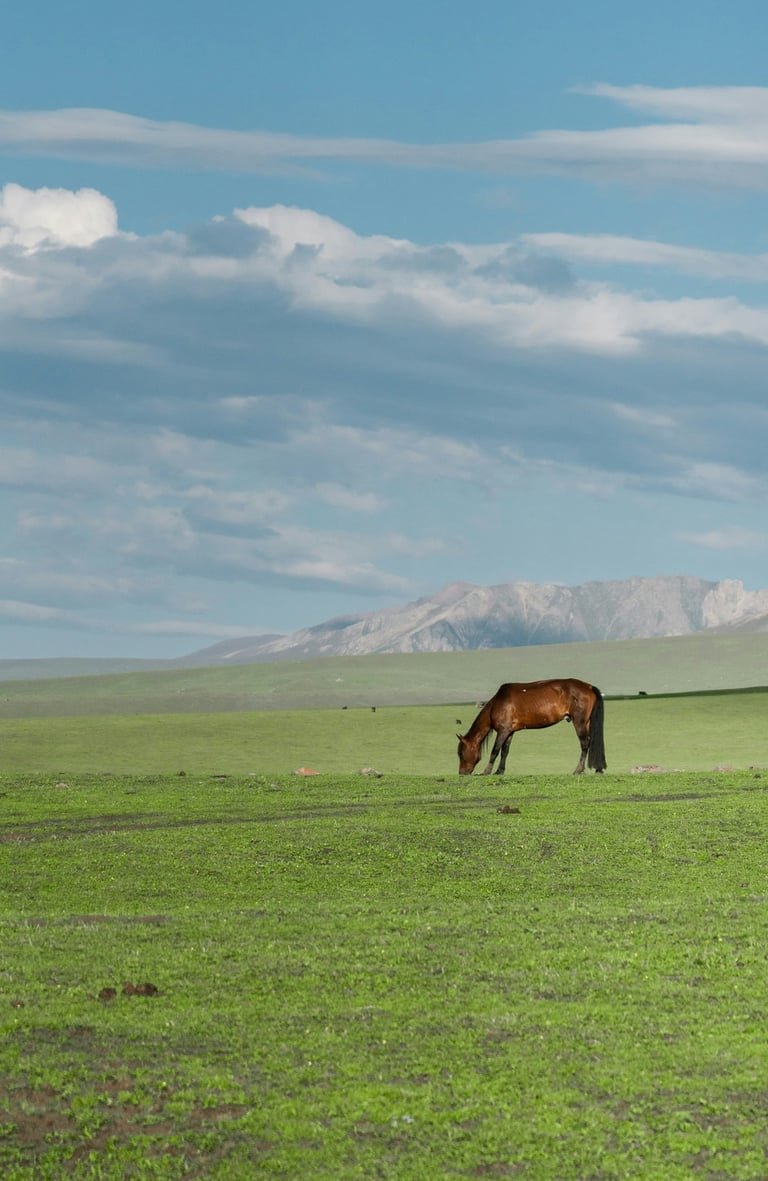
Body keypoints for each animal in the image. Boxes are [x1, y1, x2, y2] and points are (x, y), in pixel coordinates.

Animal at [456, 678, 606, 776]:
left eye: (461, 753)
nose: (462, 773)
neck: (498, 703)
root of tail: (589, 687)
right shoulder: (510, 732)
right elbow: (505, 752)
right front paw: (499, 771)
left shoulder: (503, 731)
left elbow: (495, 750)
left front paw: (486, 771)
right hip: (587, 722)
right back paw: (597, 769)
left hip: (579, 722)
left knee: (584, 744)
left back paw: (578, 770)